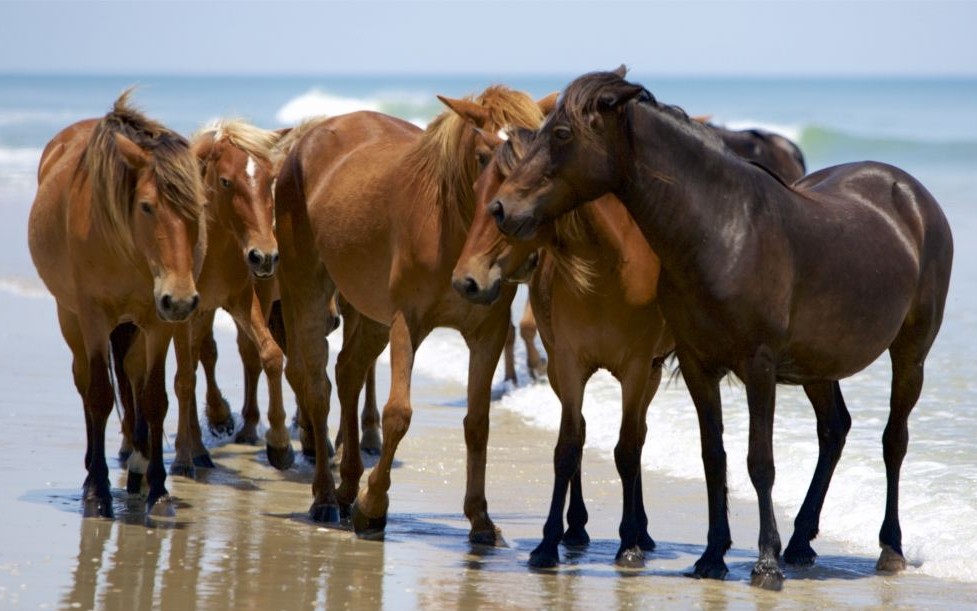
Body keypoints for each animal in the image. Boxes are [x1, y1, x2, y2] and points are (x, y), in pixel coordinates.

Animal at [28, 91, 206, 520]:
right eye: (146, 206)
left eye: (199, 207)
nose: (181, 299)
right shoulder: (94, 318)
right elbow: (99, 396)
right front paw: (98, 491)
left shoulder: (157, 321)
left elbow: (154, 399)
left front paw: (158, 490)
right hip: (71, 318)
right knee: (85, 383)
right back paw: (93, 472)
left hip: (135, 326)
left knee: (132, 377)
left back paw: (138, 471)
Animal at [270, 87, 552, 540]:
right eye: (484, 156)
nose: (522, 240)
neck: (454, 230)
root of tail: (305, 140)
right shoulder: (407, 323)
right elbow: (398, 414)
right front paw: (373, 507)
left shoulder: (487, 332)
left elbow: (478, 422)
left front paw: (480, 518)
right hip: (308, 290)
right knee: (316, 386)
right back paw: (326, 496)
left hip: (370, 314)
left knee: (348, 372)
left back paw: (347, 486)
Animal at [492, 69, 948, 592]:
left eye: (563, 134)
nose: (501, 208)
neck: (722, 231)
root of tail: (911, 194)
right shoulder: (698, 365)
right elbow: (714, 457)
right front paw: (712, 556)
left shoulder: (759, 367)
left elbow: (760, 462)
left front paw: (765, 563)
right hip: (817, 365)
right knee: (835, 429)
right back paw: (800, 543)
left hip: (911, 352)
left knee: (894, 441)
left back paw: (888, 548)